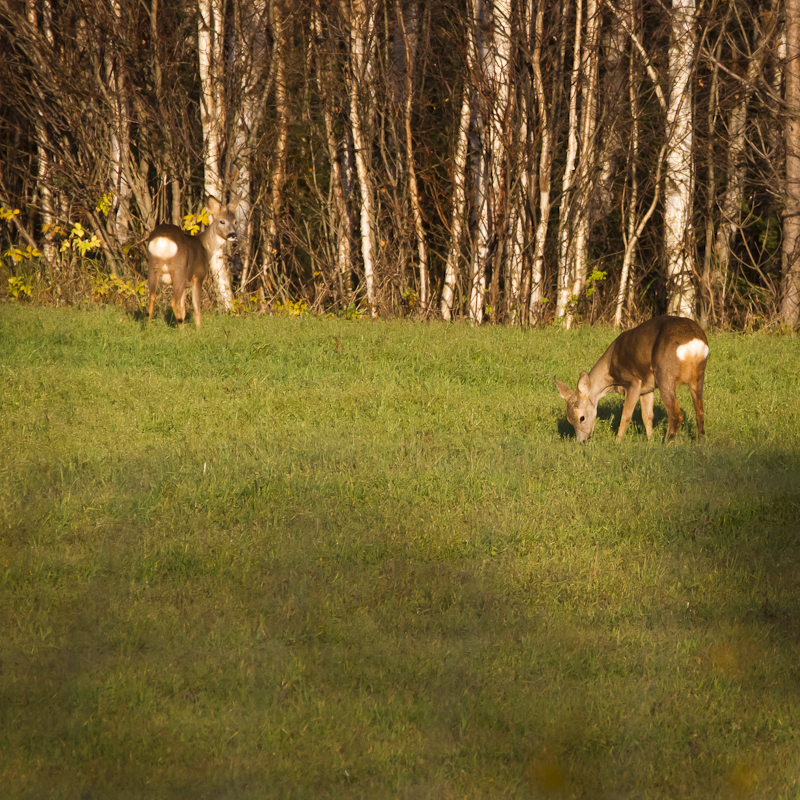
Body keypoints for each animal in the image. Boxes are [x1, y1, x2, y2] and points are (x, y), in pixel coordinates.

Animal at [147, 195, 239, 328]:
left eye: (236, 221)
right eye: (222, 221)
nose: (233, 234)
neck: (205, 247)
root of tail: (163, 239)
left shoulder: (185, 284)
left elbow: (183, 308)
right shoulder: (198, 276)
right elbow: (196, 307)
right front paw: (199, 329)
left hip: (152, 266)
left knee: (152, 298)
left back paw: (149, 328)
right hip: (179, 269)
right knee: (173, 301)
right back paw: (182, 330)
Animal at [552, 316, 708, 444]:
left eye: (581, 417)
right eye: (568, 419)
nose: (582, 441)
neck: (610, 374)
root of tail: (694, 341)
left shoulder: (633, 382)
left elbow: (626, 415)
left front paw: (617, 442)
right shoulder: (647, 388)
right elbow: (647, 416)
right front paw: (650, 441)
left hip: (665, 373)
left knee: (676, 415)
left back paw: (666, 444)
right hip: (698, 375)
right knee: (699, 411)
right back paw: (699, 442)